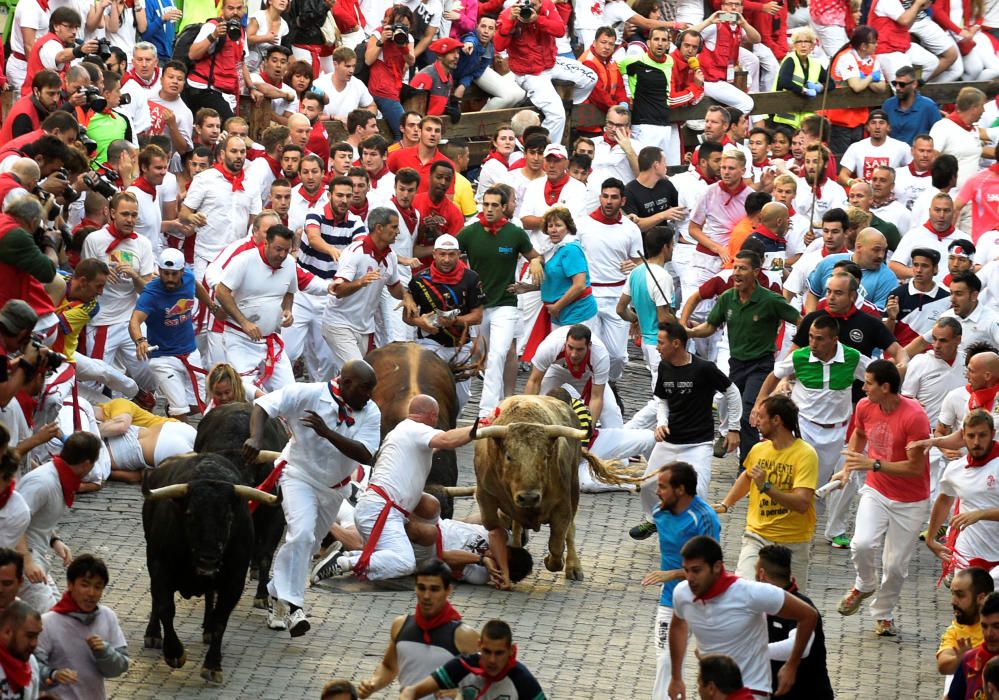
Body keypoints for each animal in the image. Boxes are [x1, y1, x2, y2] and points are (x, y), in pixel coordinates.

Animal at [139, 454, 276, 684]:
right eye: (190, 514)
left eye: (228, 517)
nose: (208, 559)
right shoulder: (159, 568)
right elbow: (165, 607)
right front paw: (174, 653)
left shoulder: (234, 581)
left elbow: (221, 619)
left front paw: (213, 665)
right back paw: (153, 634)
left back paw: (208, 629)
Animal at [470, 396, 640, 588]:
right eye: (509, 456)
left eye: (545, 456)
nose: (528, 497)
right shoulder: (485, 497)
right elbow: (494, 525)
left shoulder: (563, 507)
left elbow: (557, 546)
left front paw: (551, 560)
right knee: (517, 525)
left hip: (574, 489)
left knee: (570, 531)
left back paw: (574, 567)